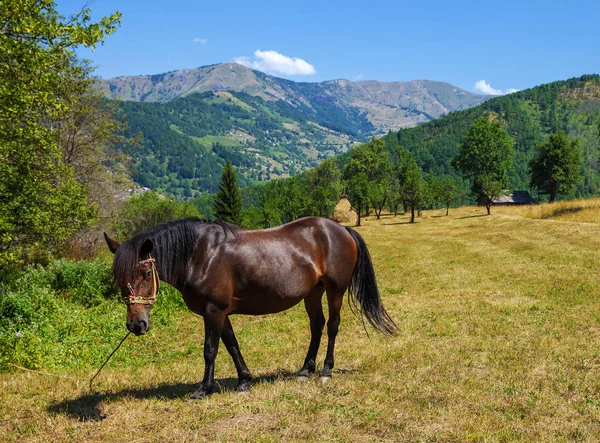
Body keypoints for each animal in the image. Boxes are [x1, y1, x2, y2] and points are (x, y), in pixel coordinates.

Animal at [105, 218, 396, 398]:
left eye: (145, 273)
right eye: (119, 279)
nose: (136, 324)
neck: (199, 256)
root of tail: (341, 229)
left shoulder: (213, 311)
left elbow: (210, 350)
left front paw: (204, 389)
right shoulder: (221, 313)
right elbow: (232, 345)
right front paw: (244, 381)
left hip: (335, 290)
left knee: (333, 326)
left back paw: (325, 370)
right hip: (313, 292)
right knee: (317, 325)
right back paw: (305, 369)